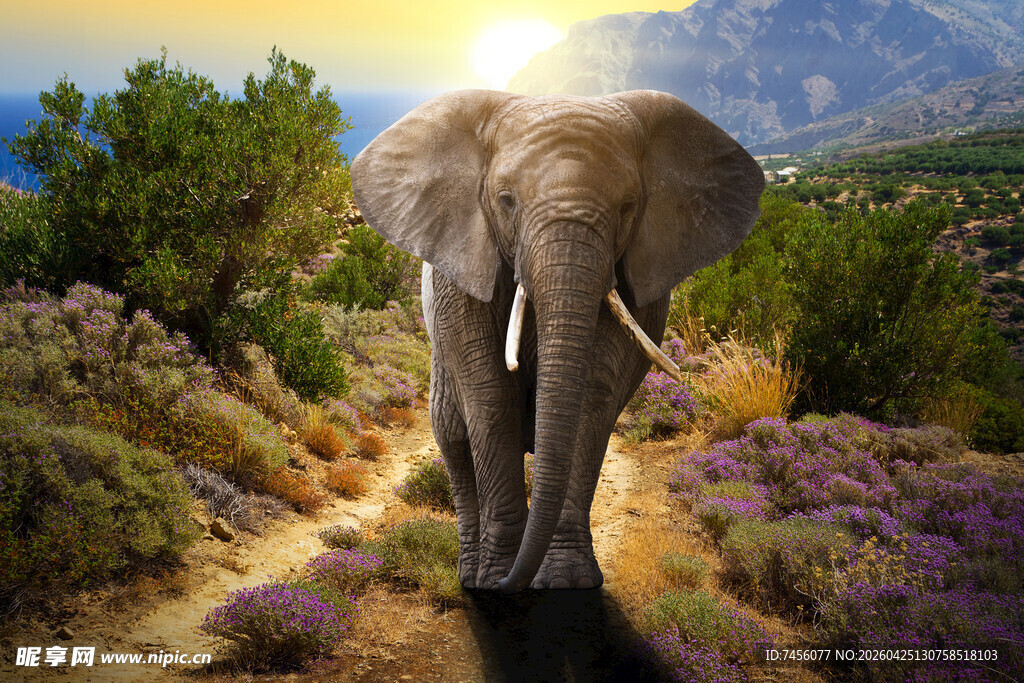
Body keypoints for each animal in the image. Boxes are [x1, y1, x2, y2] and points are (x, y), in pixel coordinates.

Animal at [350, 89, 763, 593]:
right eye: (506, 201)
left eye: (628, 207)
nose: (510, 585)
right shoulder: (459, 274)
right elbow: (490, 398)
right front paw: (496, 580)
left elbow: (591, 397)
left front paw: (567, 582)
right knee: (453, 437)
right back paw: (471, 576)